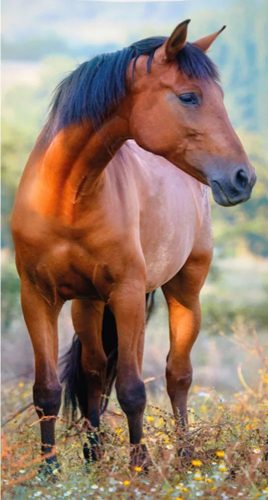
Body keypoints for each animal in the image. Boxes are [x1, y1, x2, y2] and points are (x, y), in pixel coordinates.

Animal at [11, 20, 256, 472]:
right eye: (189, 96)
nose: (243, 178)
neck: (68, 198)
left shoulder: (126, 294)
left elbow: (132, 389)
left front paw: (139, 468)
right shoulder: (38, 297)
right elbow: (47, 390)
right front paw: (49, 472)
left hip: (183, 291)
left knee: (177, 375)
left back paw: (183, 456)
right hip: (87, 304)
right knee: (92, 371)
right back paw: (93, 455)